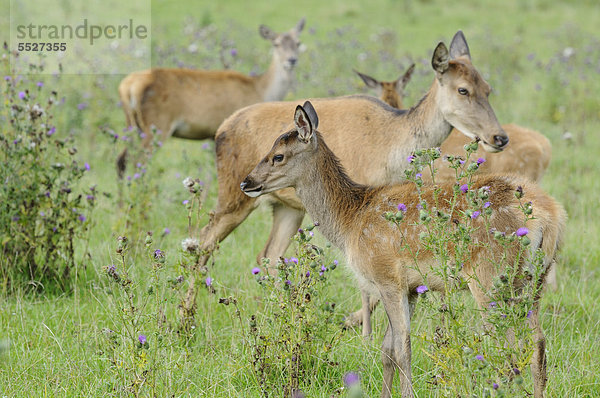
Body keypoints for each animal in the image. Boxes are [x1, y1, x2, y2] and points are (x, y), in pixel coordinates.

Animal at [196, 31, 506, 276]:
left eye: (488, 88)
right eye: (462, 89)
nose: (499, 137)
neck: (395, 145)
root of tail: (222, 129)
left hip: (286, 207)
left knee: (268, 256)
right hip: (232, 198)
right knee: (201, 244)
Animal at [240, 102, 568, 398]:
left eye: (278, 156)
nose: (247, 182)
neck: (350, 220)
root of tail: (550, 216)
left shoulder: (386, 276)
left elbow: (402, 349)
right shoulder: (411, 287)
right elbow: (387, 349)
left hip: (492, 277)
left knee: (512, 348)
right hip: (534, 279)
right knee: (538, 344)